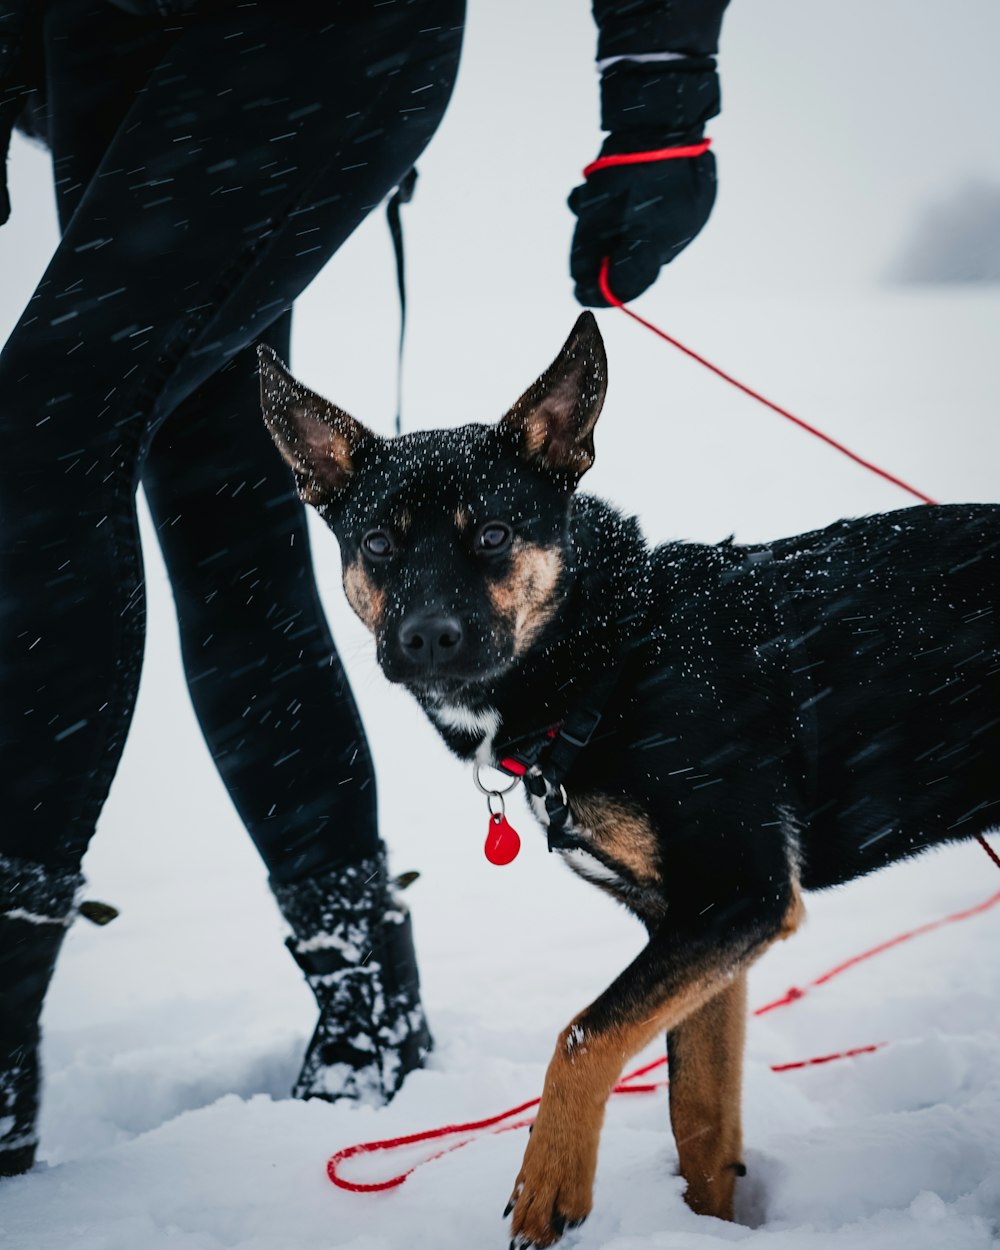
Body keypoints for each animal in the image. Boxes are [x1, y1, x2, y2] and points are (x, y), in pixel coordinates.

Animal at [260, 320, 1000, 1250]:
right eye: (380, 545)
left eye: (493, 534)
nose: (428, 637)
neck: (613, 659)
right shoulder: (696, 926)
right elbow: (700, 1117)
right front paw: (708, 1226)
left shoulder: (741, 894)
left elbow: (582, 1034)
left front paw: (549, 1183)